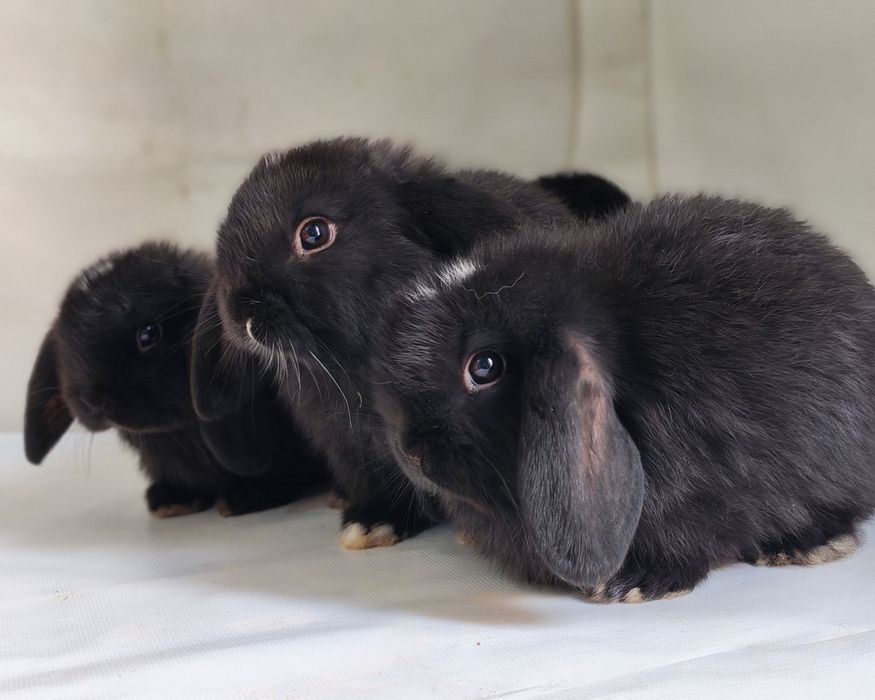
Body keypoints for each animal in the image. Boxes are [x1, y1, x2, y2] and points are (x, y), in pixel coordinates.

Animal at [24, 242, 328, 517]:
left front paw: (246, 498)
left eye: (149, 334)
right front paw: (170, 500)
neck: (174, 435)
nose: (93, 401)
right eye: (65, 348)